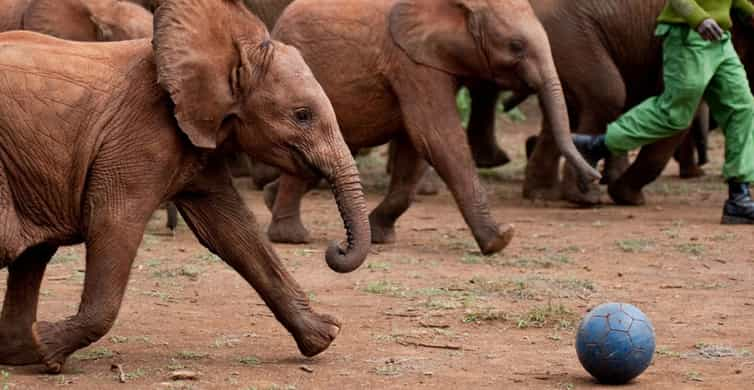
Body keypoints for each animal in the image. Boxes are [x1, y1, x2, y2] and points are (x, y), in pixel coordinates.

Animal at [0, 0, 370, 374]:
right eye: (302, 115)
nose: (335, 250)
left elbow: (233, 232)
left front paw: (324, 336)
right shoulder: (140, 135)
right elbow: (113, 224)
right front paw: (48, 348)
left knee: (33, 253)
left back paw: (18, 352)